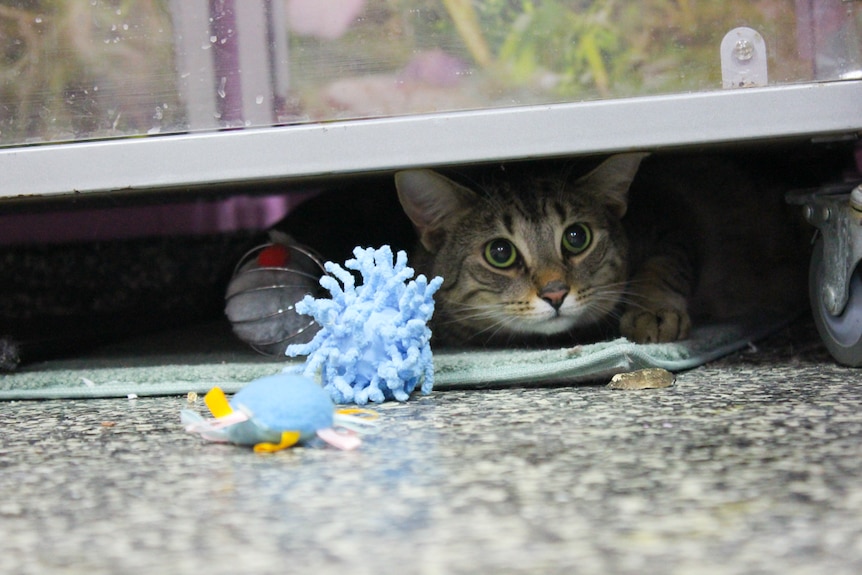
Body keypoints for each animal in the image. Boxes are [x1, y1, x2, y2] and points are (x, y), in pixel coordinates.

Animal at [394, 153, 808, 348]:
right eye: (500, 253)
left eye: (577, 237)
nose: (555, 292)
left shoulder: (672, 220)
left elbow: (662, 268)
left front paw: (652, 311)